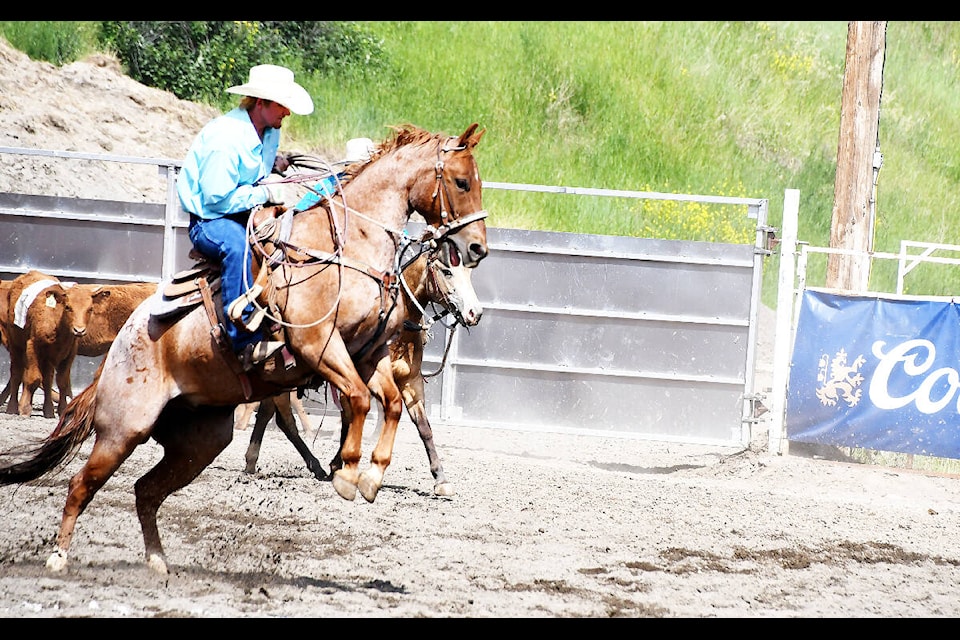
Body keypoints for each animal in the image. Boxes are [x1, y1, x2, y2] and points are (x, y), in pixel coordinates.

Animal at [240, 235, 480, 496]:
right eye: (447, 271)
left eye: (469, 272)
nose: (474, 313)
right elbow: (349, 418)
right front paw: (339, 465)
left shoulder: (411, 381)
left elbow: (424, 427)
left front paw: (440, 478)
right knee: (283, 419)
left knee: (270, 414)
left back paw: (255, 461)